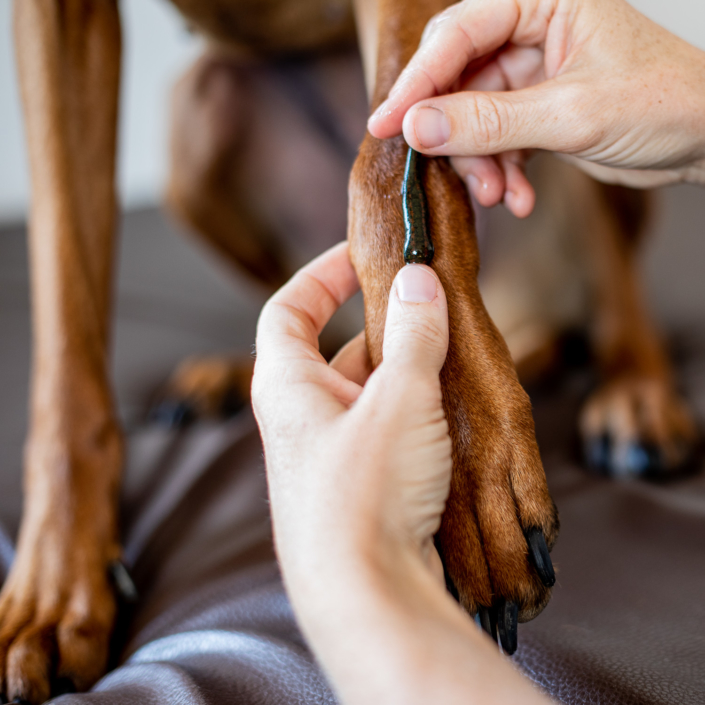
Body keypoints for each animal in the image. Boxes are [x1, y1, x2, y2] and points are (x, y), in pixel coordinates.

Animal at [4, 0, 700, 700]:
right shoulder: (53, 26)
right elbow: (65, 311)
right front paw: (56, 587)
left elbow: (389, 165)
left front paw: (464, 444)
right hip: (198, 113)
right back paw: (232, 374)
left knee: (611, 283)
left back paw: (636, 394)